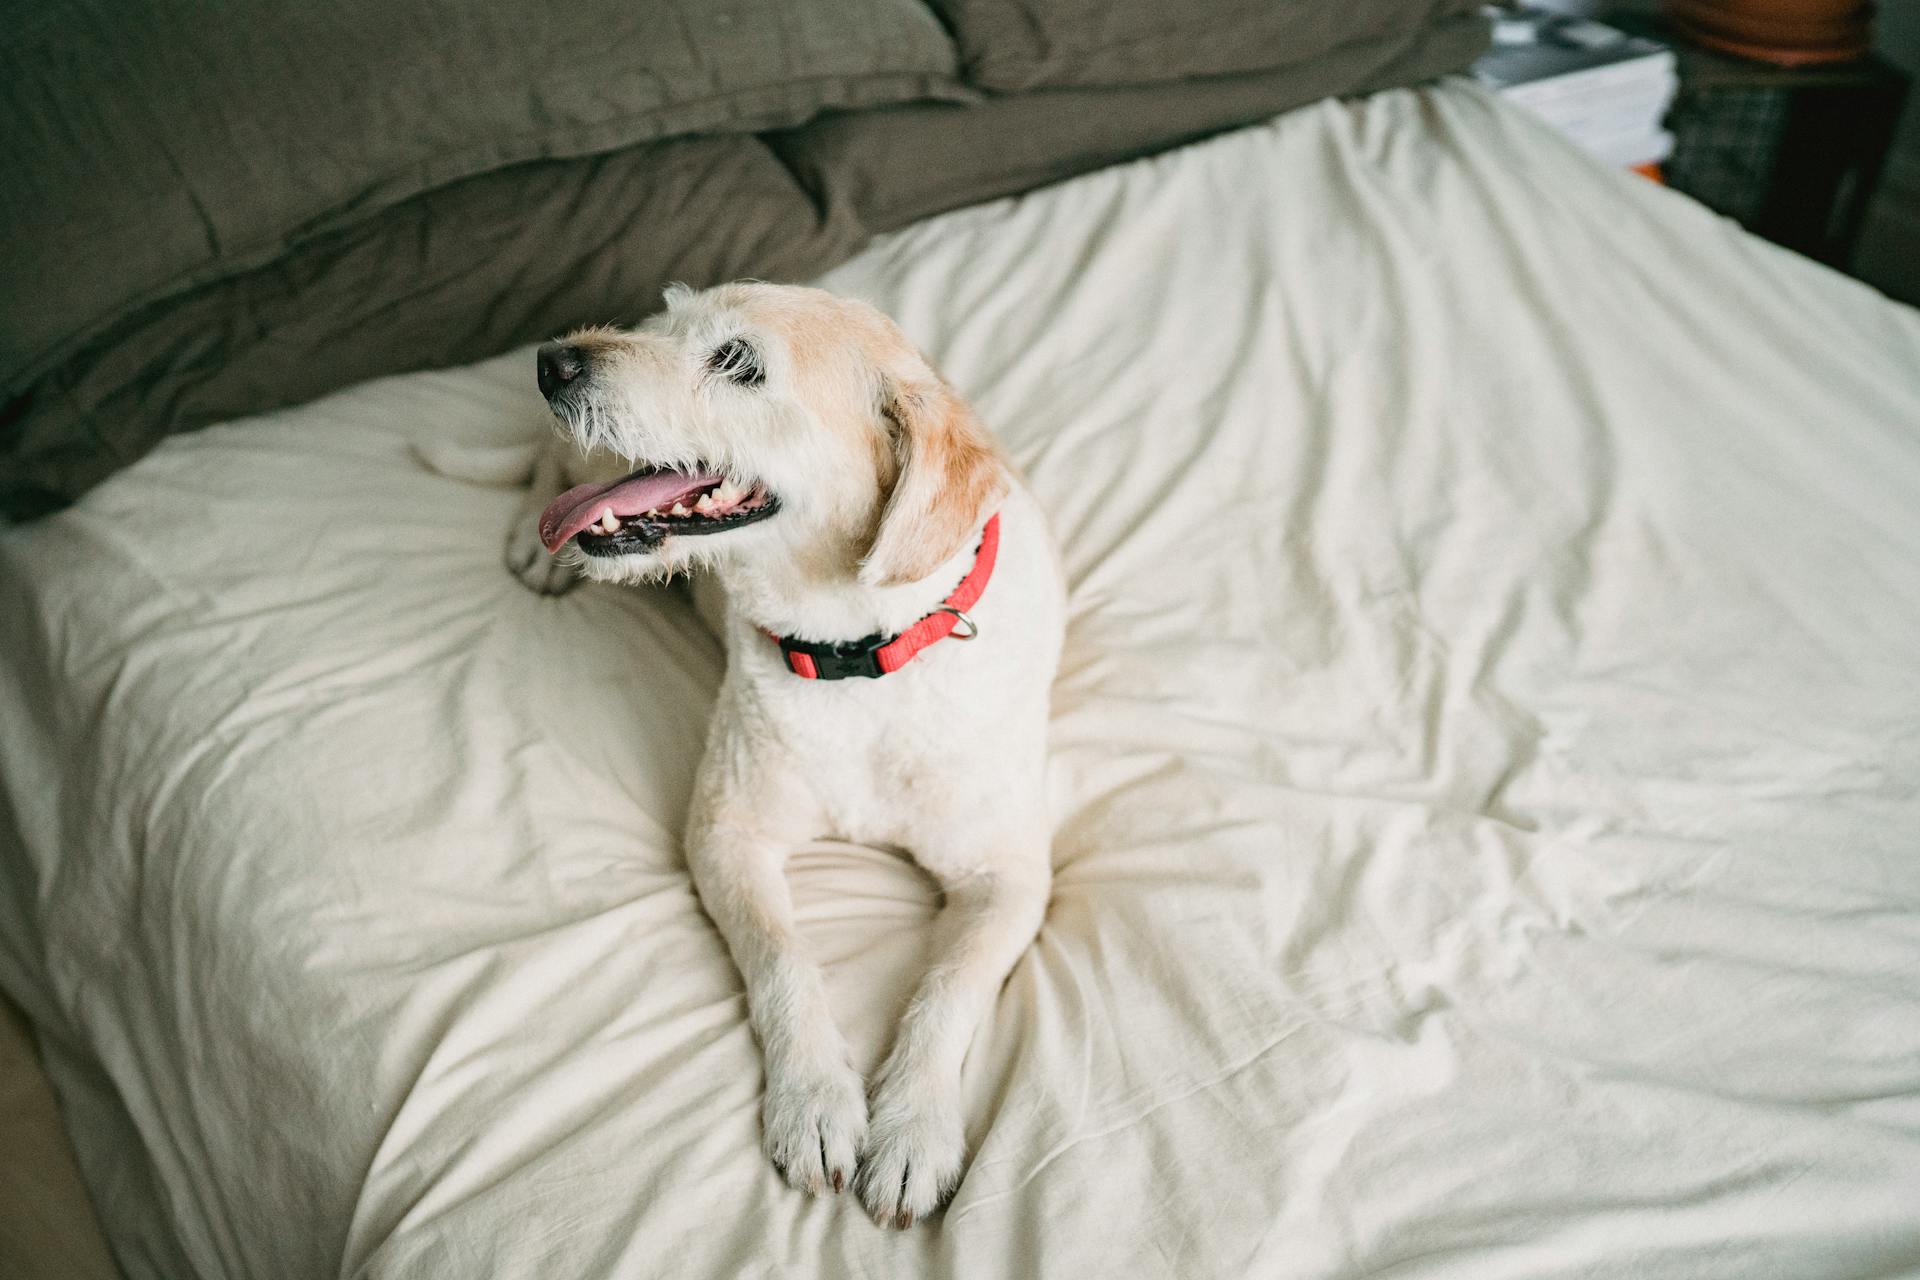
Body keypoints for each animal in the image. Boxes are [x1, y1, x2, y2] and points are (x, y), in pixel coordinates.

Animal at [510, 285, 1067, 1228]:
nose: (554, 360)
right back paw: (531, 536)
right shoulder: (726, 834)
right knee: (548, 463)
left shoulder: (1009, 878)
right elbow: (783, 962)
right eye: (673, 322)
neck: (860, 654)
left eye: (739, 362)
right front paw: (814, 1104)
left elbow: (946, 992)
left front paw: (912, 1128)